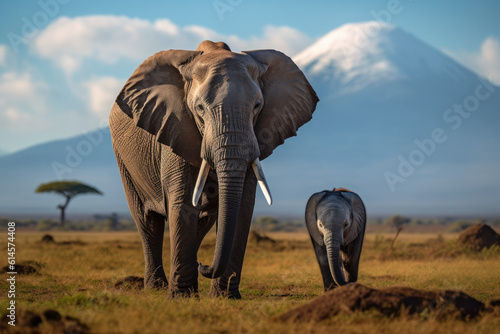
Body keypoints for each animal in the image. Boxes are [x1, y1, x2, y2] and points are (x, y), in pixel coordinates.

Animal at [111, 40, 318, 298]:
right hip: (124, 159)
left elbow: (241, 206)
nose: (205, 265)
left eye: (257, 106)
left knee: (201, 222)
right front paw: (182, 298)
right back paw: (156, 287)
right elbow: (183, 203)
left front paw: (225, 297)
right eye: (199, 108)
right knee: (146, 220)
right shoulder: (175, 126)